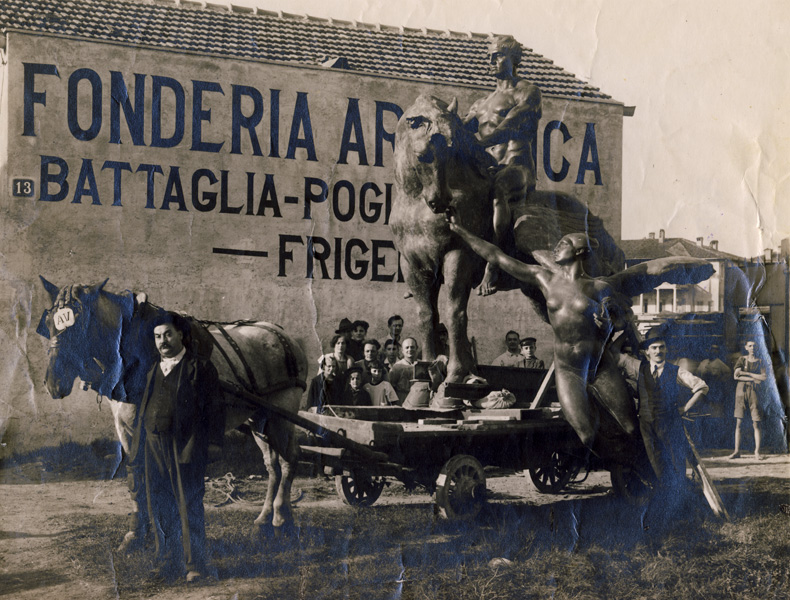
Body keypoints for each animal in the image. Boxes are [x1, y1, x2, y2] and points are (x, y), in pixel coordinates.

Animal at [37, 276, 310, 548]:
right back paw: (265, 520)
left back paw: (280, 518)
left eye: (80, 323)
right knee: (272, 465)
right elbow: (137, 476)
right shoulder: (125, 427)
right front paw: (137, 534)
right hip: (260, 418)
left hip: (282, 412)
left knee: (289, 459)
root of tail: (282, 334)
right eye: (49, 323)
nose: (52, 384)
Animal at [392, 94, 628, 384]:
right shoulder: (413, 266)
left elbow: (454, 312)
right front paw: (427, 367)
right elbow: (426, 316)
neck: (414, 206)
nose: (441, 202)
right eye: (423, 155)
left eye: (451, 150)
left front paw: (458, 373)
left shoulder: (457, 256)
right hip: (537, 293)